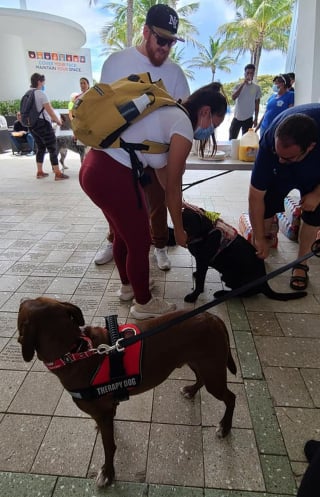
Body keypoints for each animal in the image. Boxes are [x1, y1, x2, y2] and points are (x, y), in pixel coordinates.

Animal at [18, 296, 238, 486]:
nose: (21, 298)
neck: (75, 351)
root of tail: (213, 317)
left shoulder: (103, 413)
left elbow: (109, 446)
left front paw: (108, 473)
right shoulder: (108, 410)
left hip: (212, 373)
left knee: (231, 397)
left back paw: (225, 426)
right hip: (199, 364)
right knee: (200, 378)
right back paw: (191, 391)